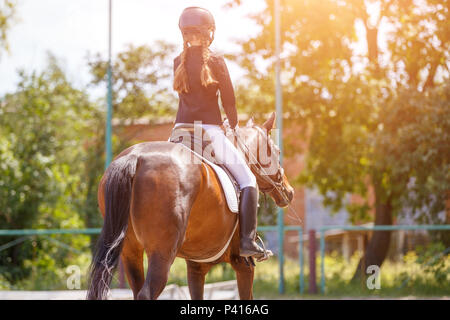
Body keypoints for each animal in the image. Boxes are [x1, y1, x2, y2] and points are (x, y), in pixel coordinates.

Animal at [87, 112, 296, 300]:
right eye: (277, 151)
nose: (290, 191)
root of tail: (135, 157)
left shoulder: (196, 266)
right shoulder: (243, 263)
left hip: (130, 252)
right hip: (162, 254)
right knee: (147, 293)